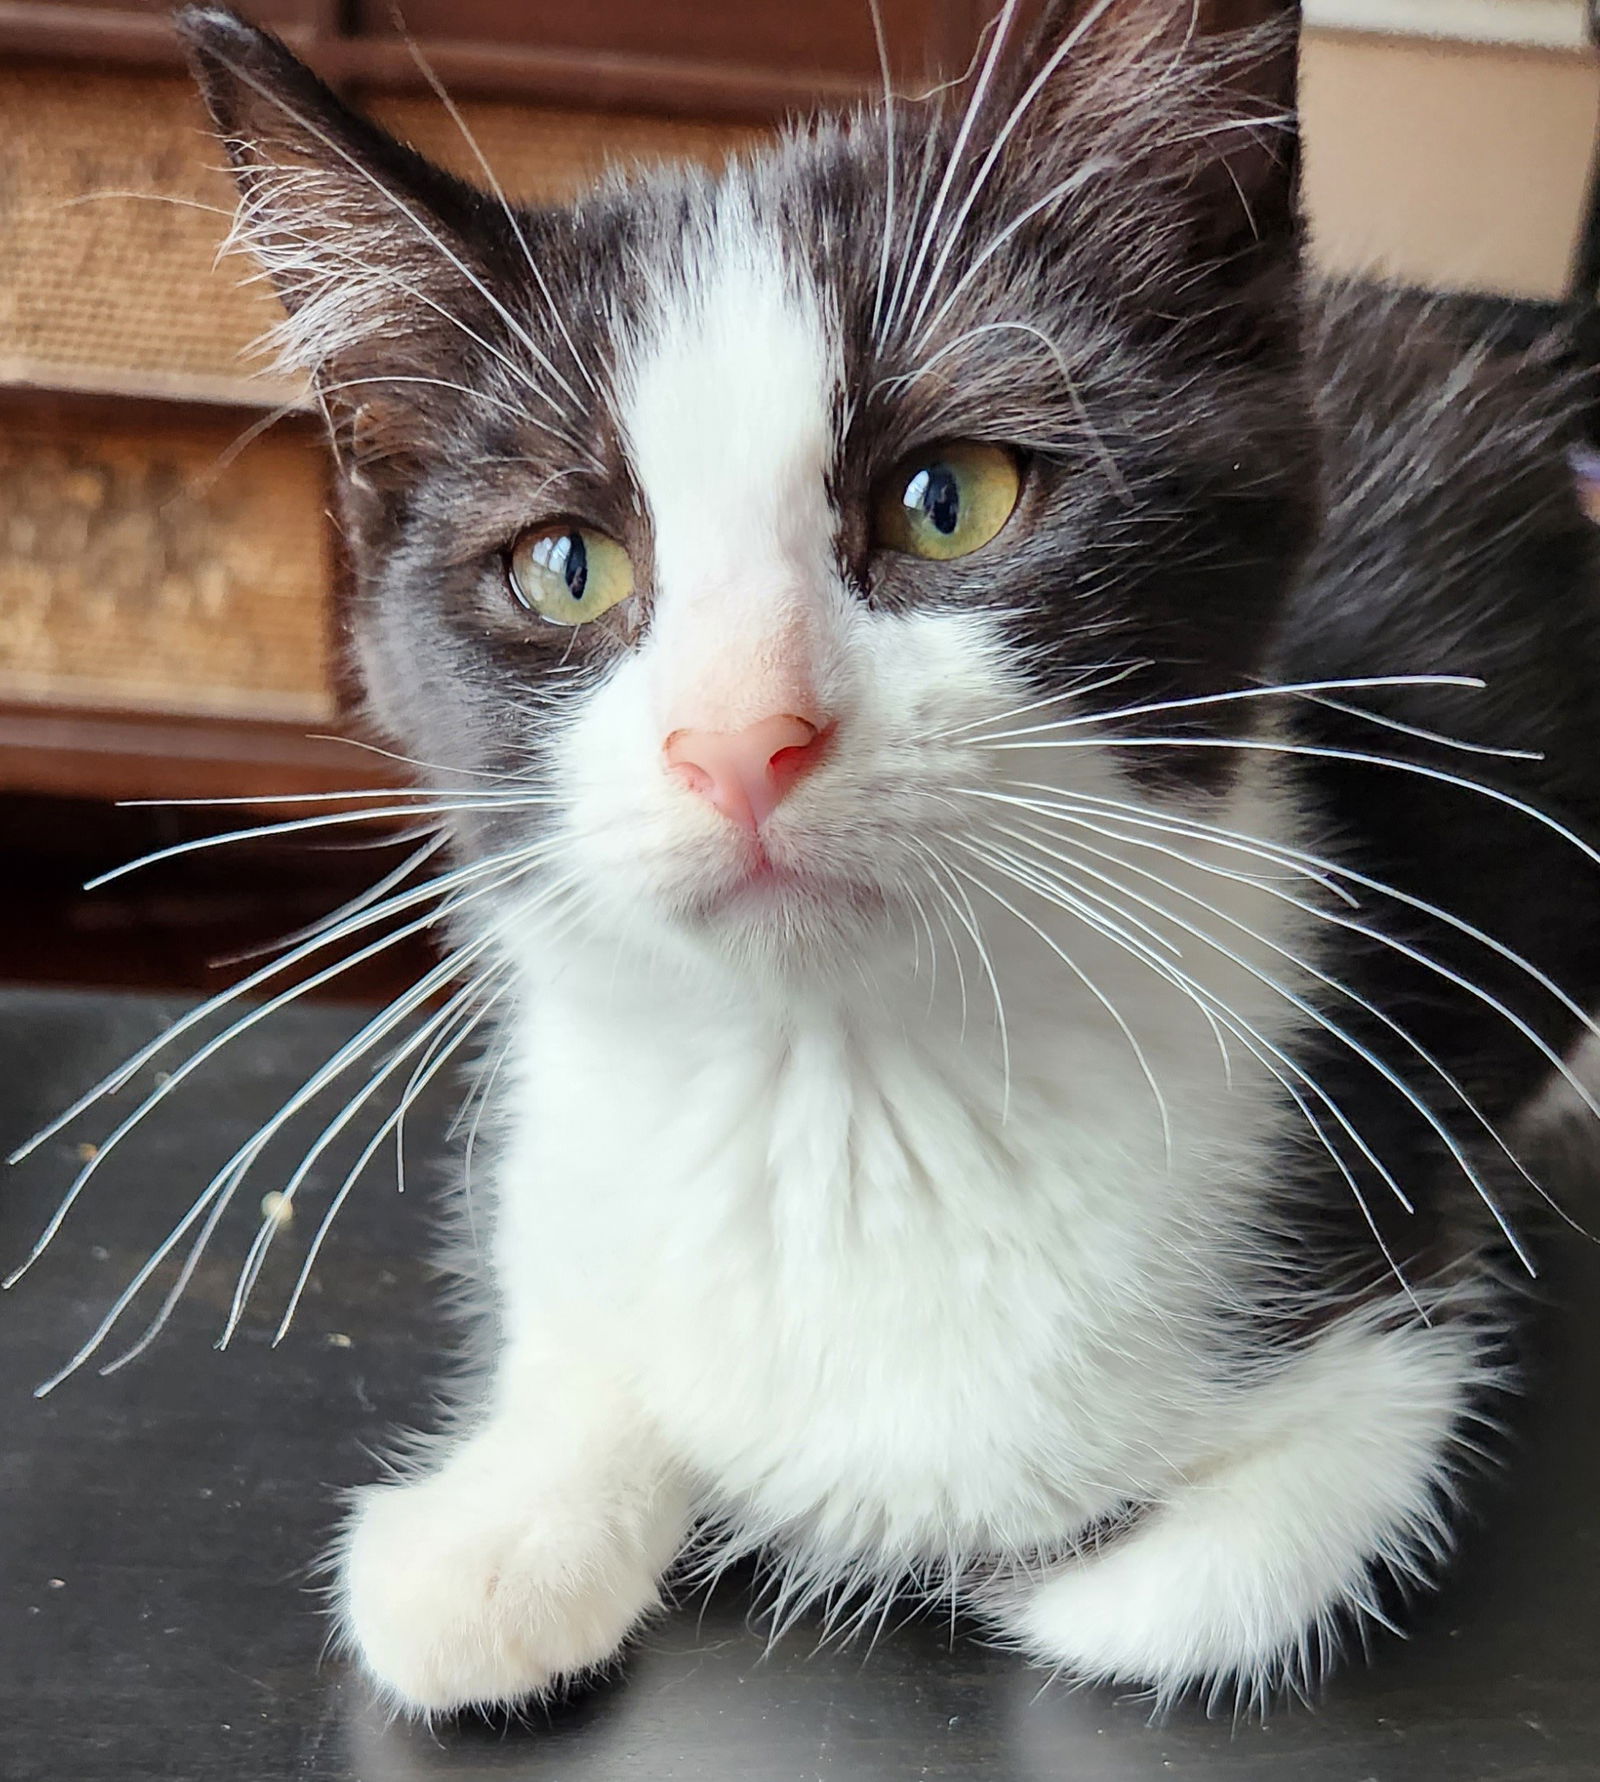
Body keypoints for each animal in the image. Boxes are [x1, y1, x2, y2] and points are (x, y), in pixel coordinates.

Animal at [84, 0, 1600, 1717]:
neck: (849, 1092)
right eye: (566, 565)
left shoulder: (1389, 1250)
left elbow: (1225, 1571)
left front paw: (1076, 1584)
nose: (745, 736)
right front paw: (495, 1530)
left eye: (950, 499)